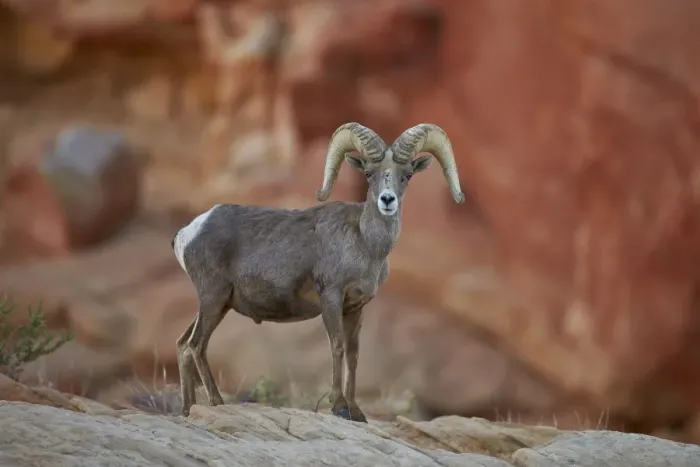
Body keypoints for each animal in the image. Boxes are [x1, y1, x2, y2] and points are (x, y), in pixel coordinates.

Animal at [172, 122, 465, 421]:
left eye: (406, 175)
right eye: (368, 174)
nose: (387, 200)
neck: (366, 243)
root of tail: (188, 232)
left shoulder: (355, 308)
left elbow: (353, 355)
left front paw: (356, 411)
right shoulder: (331, 298)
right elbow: (336, 347)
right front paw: (340, 407)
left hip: (219, 305)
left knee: (184, 345)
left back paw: (187, 409)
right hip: (213, 298)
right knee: (196, 345)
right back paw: (217, 402)